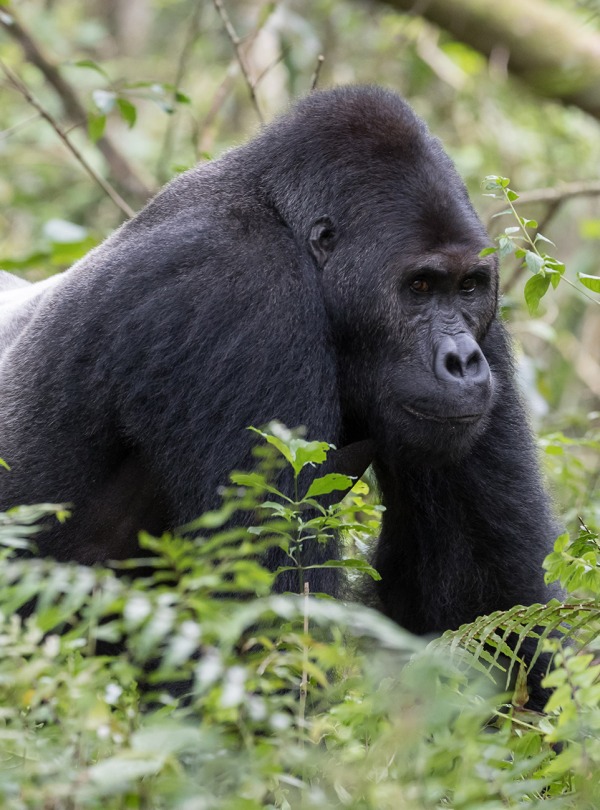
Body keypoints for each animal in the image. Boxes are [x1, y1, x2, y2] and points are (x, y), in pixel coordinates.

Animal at [0, 87, 556, 708]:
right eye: (418, 287)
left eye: (467, 288)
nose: (463, 361)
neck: (283, 220)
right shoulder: (242, 295)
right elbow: (260, 632)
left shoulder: (487, 327)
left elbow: (484, 606)